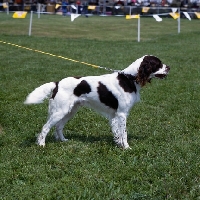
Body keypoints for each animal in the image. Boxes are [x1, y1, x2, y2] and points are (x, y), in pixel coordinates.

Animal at [24, 55, 170, 149]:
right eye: (158, 63)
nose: (169, 67)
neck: (129, 78)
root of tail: (57, 83)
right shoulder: (122, 114)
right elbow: (124, 133)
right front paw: (127, 147)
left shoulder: (114, 115)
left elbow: (117, 133)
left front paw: (119, 145)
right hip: (60, 111)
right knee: (45, 127)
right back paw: (41, 145)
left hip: (70, 111)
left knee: (59, 126)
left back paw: (63, 140)